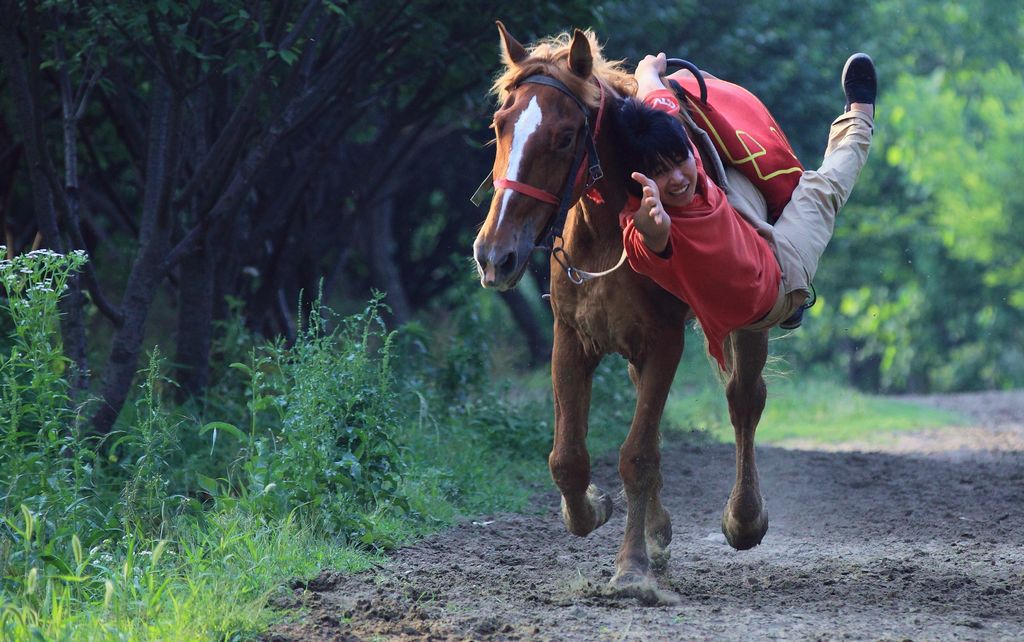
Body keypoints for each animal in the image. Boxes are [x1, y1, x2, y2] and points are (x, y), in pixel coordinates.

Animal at [471, 23, 770, 597]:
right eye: (500, 126)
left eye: (566, 137)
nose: (495, 255)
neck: (608, 233)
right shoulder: (570, 339)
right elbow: (567, 458)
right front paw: (592, 508)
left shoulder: (664, 342)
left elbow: (637, 455)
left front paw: (631, 568)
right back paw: (658, 529)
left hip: (747, 314)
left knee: (744, 400)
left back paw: (744, 517)